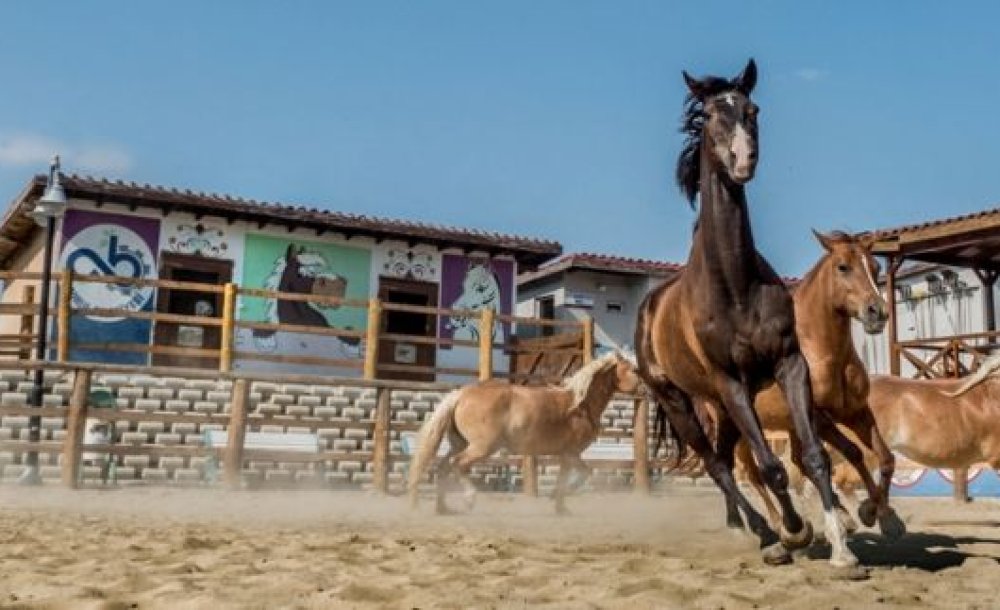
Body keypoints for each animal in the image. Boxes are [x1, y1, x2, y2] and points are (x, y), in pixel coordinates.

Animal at [408, 352, 636, 512]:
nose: (644, 389)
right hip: (482, 447)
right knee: (458, 464)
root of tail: (462, 395)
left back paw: (443, 508)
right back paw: (469, 499)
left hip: (459, 443)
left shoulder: (566, 455)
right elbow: (583, 474)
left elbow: (564, 478)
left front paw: (561, 508)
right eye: (633, 370)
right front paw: (561, 497)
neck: (580, 405)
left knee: (443, 468)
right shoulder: (572, 453)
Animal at [636, 58, 856, 564]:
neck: (735, 285)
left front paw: (841, 549)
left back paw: (744, 526)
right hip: (680, 401)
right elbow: (771, 467)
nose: (744, 160)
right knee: (715, 464)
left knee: (723, 458)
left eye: (752, 110)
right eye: (711, 115)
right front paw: (794, 533)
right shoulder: (731, 381)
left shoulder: (789, 365)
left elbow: (813, 457)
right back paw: (765, 533)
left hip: (719, 405)